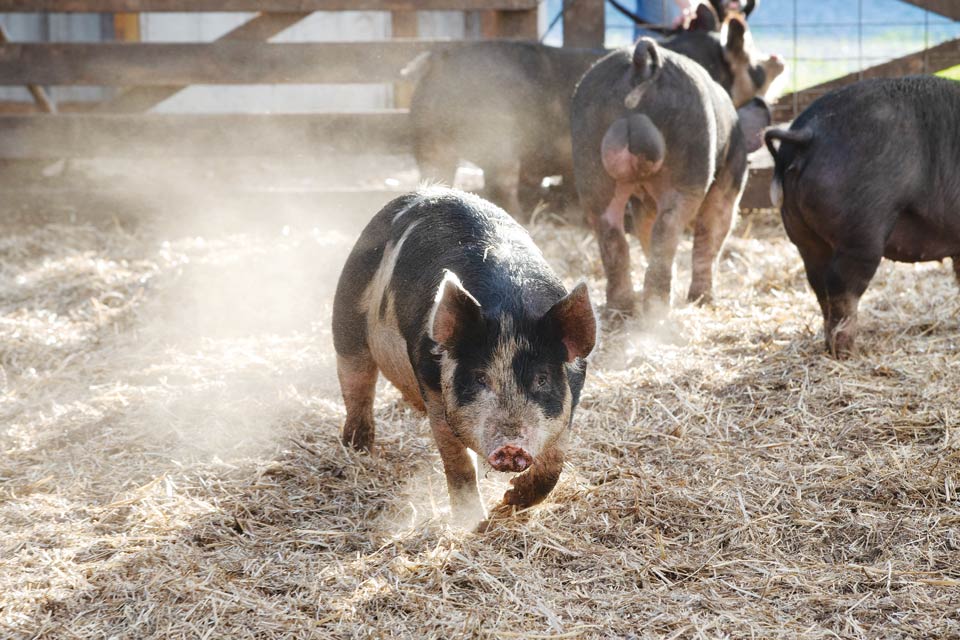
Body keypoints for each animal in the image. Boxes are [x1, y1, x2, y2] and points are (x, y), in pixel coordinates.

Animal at [334, 188, 596, 528]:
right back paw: (358, 448)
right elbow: (458, 461)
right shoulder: (434, 390)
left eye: (541, 378)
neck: (511, 310)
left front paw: (509, 501)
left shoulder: (570, 402)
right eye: (480, 377)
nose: (510, 447)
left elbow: (554, 464)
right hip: (347, 316)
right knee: (357, 383)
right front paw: (474, 523)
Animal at [568, 35, 772, 316]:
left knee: (612, 231)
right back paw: (658, 310)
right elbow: (713, 232)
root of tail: (641, 67)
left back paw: (622, 309)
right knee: (668, 229)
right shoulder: (730, 180)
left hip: (590, 161)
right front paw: (704, 300)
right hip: (689, 160)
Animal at [764, 77, 960, 358]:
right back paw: (846, 353)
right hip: (861, 232)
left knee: (818, 283)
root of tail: (808, 134)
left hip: (802, 235)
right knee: (841, 286)